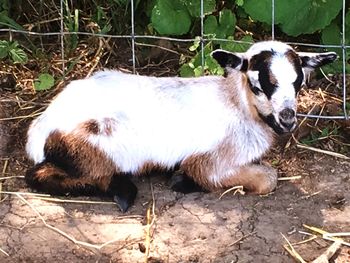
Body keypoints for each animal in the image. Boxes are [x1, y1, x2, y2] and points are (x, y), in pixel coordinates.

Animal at [24, 40, 336, 211]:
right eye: (257, 85)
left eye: (298, 83)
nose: (287, 118)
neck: (237, 106)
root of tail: (40, 126)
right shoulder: (210, 162)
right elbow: (267, 179)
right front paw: (181, 180)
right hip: (91, 146)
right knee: (38, 176)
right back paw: (123, 191)